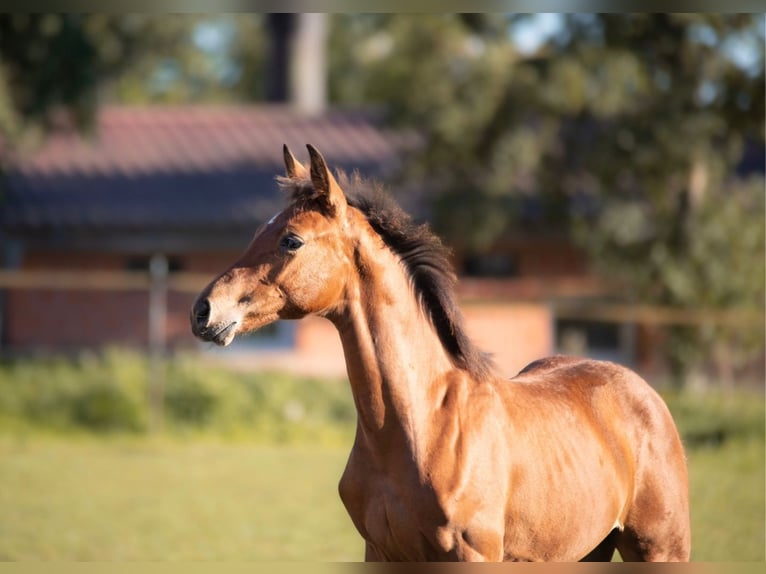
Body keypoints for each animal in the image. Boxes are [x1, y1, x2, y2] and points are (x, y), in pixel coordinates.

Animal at [194, 144, 696, 564]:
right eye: (260, 231)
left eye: (291, 240)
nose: (204, 310)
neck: (422, 425)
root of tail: (641, 391)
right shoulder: (380, 553)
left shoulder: (471, 554)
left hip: (660, 550)